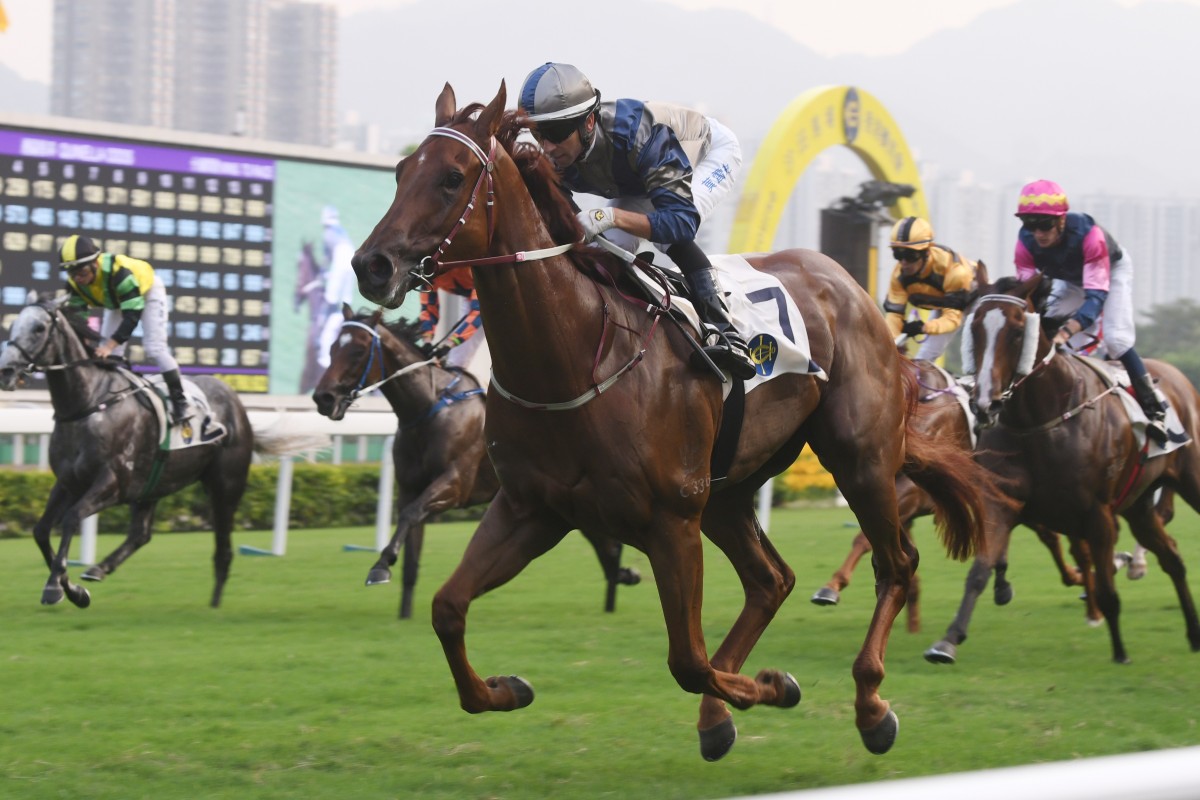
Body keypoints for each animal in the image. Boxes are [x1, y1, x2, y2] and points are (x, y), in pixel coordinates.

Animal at [314, 307, 643, 618]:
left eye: (358, 350)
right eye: (331, 347)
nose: (323, 398)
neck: (427, 408)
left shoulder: (455, 483)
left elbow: (410, 514)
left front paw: (381, 565)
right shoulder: (410, 487)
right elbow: (411, 551)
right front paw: (402, 608)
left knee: (607, 541)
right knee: (603, 541)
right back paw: (619, 580)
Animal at [348, 82, 993, 762]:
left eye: (452, 177)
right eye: (401, 172)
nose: (373, 265)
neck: (575, 355)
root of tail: (850, 286)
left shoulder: (670, 521)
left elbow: (687, 659)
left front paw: (776, 686)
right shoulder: (530, 510)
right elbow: (447, 608)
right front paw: (506, 688)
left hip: (858, 459)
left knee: (894, 563)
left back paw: (870, 705)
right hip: (726, 489)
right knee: (771, 579)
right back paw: (721, 716)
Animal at [811, 362, 1099, 633]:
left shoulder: (913, 493)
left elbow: (865, 539)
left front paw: (831, 587)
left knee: (1065, 541)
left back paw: (1087, 594)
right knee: (1049, 536)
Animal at [926, 275, 1200, 662]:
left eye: (1017, 331)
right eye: (974, 328)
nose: (984, 404)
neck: (1038, 419)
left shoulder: (1098, 513)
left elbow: (1106, 588)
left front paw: (1120, 652)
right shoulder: (1000, 501)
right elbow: (979, 570)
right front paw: (948, 640)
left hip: (1189, 480)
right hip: (1139, 506)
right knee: (1172, 556)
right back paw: (1193, 632)